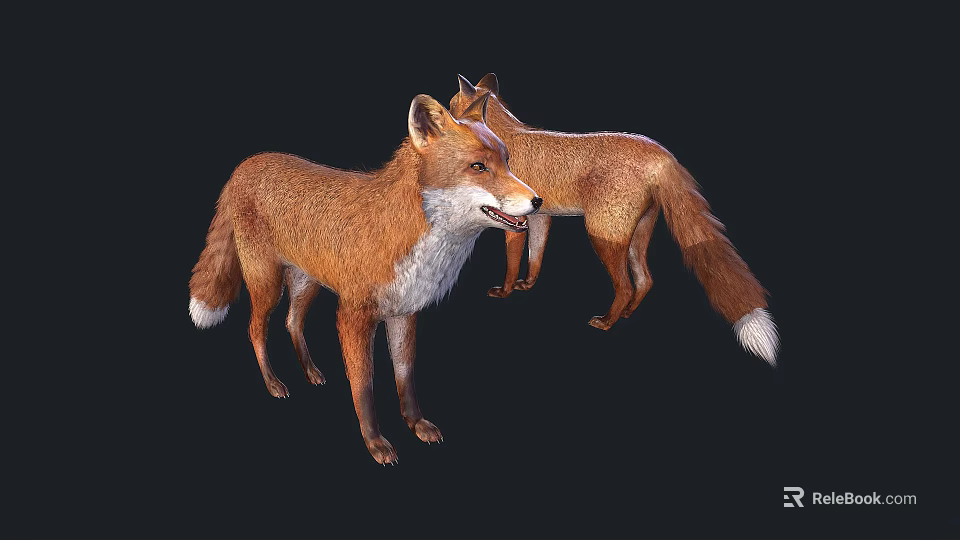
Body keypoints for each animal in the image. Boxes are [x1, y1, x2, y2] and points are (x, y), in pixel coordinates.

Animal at [188, 93, 540, 464]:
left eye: (507, 161)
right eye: (478, 167)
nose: (537, 200)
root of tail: (247, 163)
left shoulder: (404, 312)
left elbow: (405, 375)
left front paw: (415, 423)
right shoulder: (353, 316)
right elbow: (364, 385)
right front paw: (375, 442)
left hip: (307, 283)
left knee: (292, 322)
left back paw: (310, 371)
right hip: (267, 284)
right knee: (256, 329)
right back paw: (273, 383)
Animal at [449, 74, 778, 366]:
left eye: (452, 105)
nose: (443, 118)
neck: (507, 136)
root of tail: (661, 152)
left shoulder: (515, 220)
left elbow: (512, 262)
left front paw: (504, 292)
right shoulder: (541, 217)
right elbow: (535, 258)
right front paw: (526, 286)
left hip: (602, 235)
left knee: (626, 286)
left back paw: (608, 322)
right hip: (635, 237)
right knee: (646, 280)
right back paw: (626, 314)